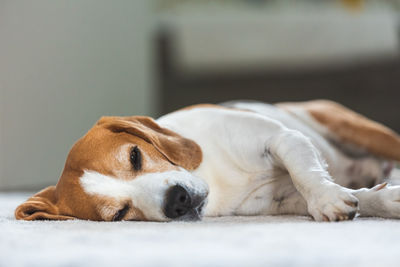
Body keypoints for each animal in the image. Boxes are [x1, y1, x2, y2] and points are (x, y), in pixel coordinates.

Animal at [14, 100, 400, 222]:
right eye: (120, 214)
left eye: (135, 156)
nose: (177, 201)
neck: (214, 178)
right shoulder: (282, 200)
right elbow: (360, 196)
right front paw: (382, 199)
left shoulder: (282, 139)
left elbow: (307, 174)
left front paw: (327, 198)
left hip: (355, 129)